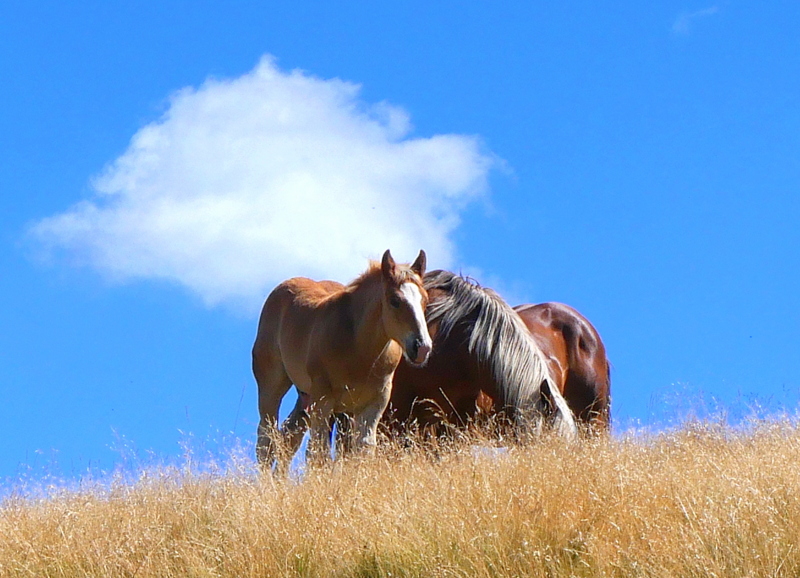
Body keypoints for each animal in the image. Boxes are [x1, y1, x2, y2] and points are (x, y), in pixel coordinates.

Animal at [252, 249, 432, 469]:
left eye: (425, 300)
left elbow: (363, 448)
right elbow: (318, 452)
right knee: (266, 440)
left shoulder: (375, 401)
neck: (360, 349)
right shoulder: (323, 399)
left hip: (306, 396)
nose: (422, 348)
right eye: (395, 301)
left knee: (289, 436)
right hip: (272, 384)